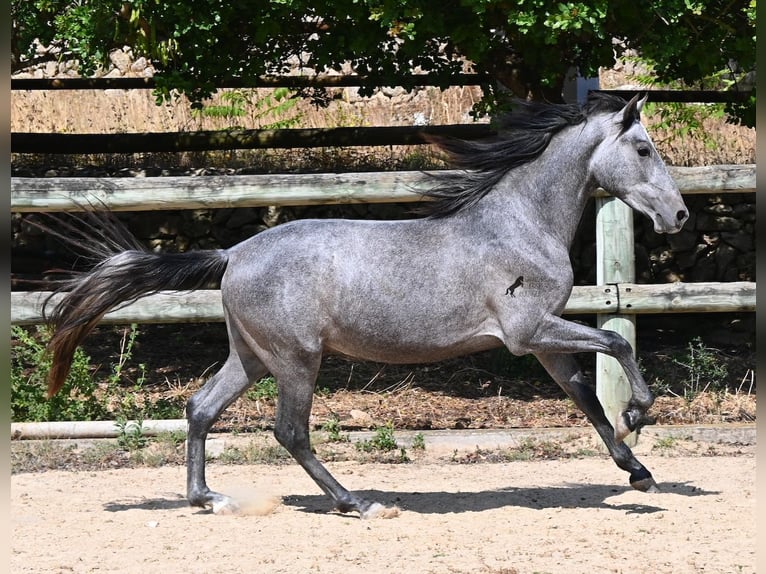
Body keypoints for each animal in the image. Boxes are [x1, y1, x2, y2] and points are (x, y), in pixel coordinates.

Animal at [41, 92, 688, 519]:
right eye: (643, 148)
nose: (679, 215)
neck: (520, 225)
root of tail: (233, 252)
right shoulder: (528, 331)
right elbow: (617, 342)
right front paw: (638, 416)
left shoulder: (540, 342)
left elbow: (585, 397)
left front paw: (639, 472)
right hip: (296, 359)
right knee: (290, 431)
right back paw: (358, 502)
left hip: (252, 355)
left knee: (201, 408)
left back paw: (210, 499)